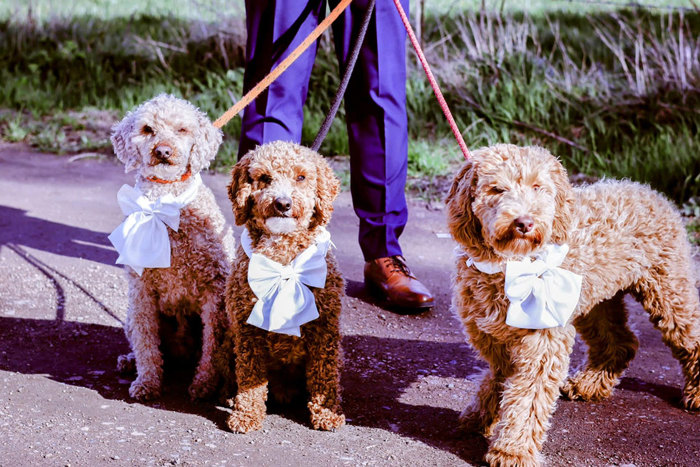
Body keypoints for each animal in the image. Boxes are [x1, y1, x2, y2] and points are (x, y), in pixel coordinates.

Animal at [111, 95, 235, 402]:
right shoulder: (141, 290)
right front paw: (147, 382)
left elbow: (212, 347)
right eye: (147, 129)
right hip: (130, 316)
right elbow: (146, 341)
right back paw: (129, 361)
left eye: (182, 129)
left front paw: (204, 385)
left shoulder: (214, 290)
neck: (164, 205)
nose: (163, 151)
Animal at [224, 141, 344, 434]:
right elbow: (250, 376)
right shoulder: (247, 330)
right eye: (264, 178)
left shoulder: (325, 329)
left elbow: (325, 374)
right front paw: (247, 414)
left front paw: (327, 412)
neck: (283, 256)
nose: (283, 203)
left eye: (301, 177)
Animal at [448, 144, 700, 466]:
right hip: (596, 301)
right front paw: (480, 417)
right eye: (496, 189)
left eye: (538, 187)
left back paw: (696, 393)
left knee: (688, 336)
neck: (510, 266)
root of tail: (650, 191)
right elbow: (499, 378)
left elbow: (528, 397)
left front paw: (512, 450)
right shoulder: (492, 338)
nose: (524, 223)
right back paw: (590, 383)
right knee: (620, 342)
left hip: (669, 290)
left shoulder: (542, 343)